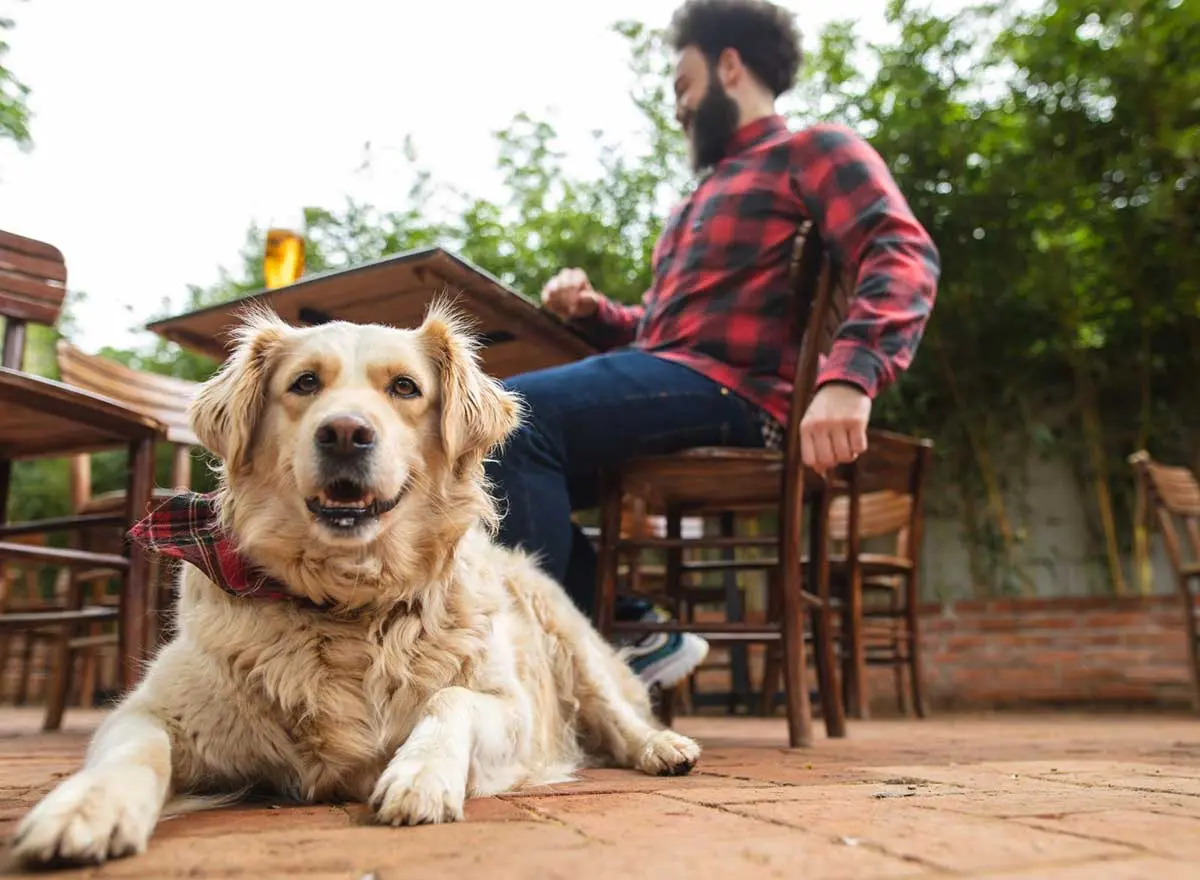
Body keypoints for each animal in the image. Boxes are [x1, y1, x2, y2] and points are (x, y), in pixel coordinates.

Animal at [9, 302, 700, 864]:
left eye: (405, 388)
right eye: (304, 383)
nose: (344, 432)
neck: (349, 601)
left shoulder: (514, 713)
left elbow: (452, 699)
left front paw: (419, 776)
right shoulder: (153, 710)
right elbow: (133, 751)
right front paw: (85, 809)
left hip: (569, 639)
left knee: (616, 714)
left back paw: (663, 747)